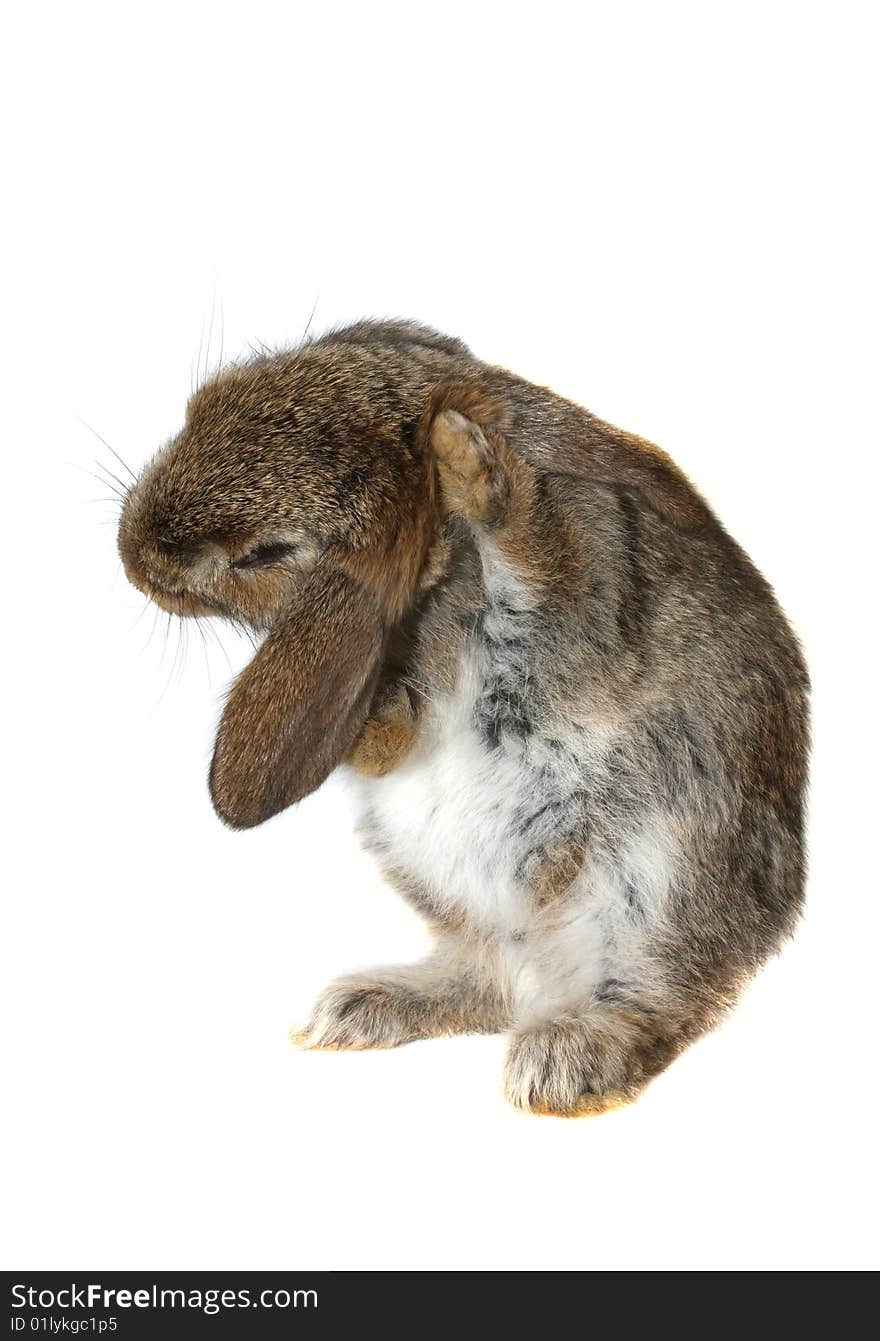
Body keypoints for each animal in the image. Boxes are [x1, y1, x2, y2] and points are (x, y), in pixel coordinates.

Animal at [118, 319, 810, 1115]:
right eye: (203, 401)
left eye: (263, 555)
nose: (130, 557)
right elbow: (390, 732)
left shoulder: (590, 581)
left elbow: (538, 550)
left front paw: (459, 449)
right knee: (493, 979)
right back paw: (360, 1009)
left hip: (662, 882)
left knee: (655, 997)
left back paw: (562, 1060)